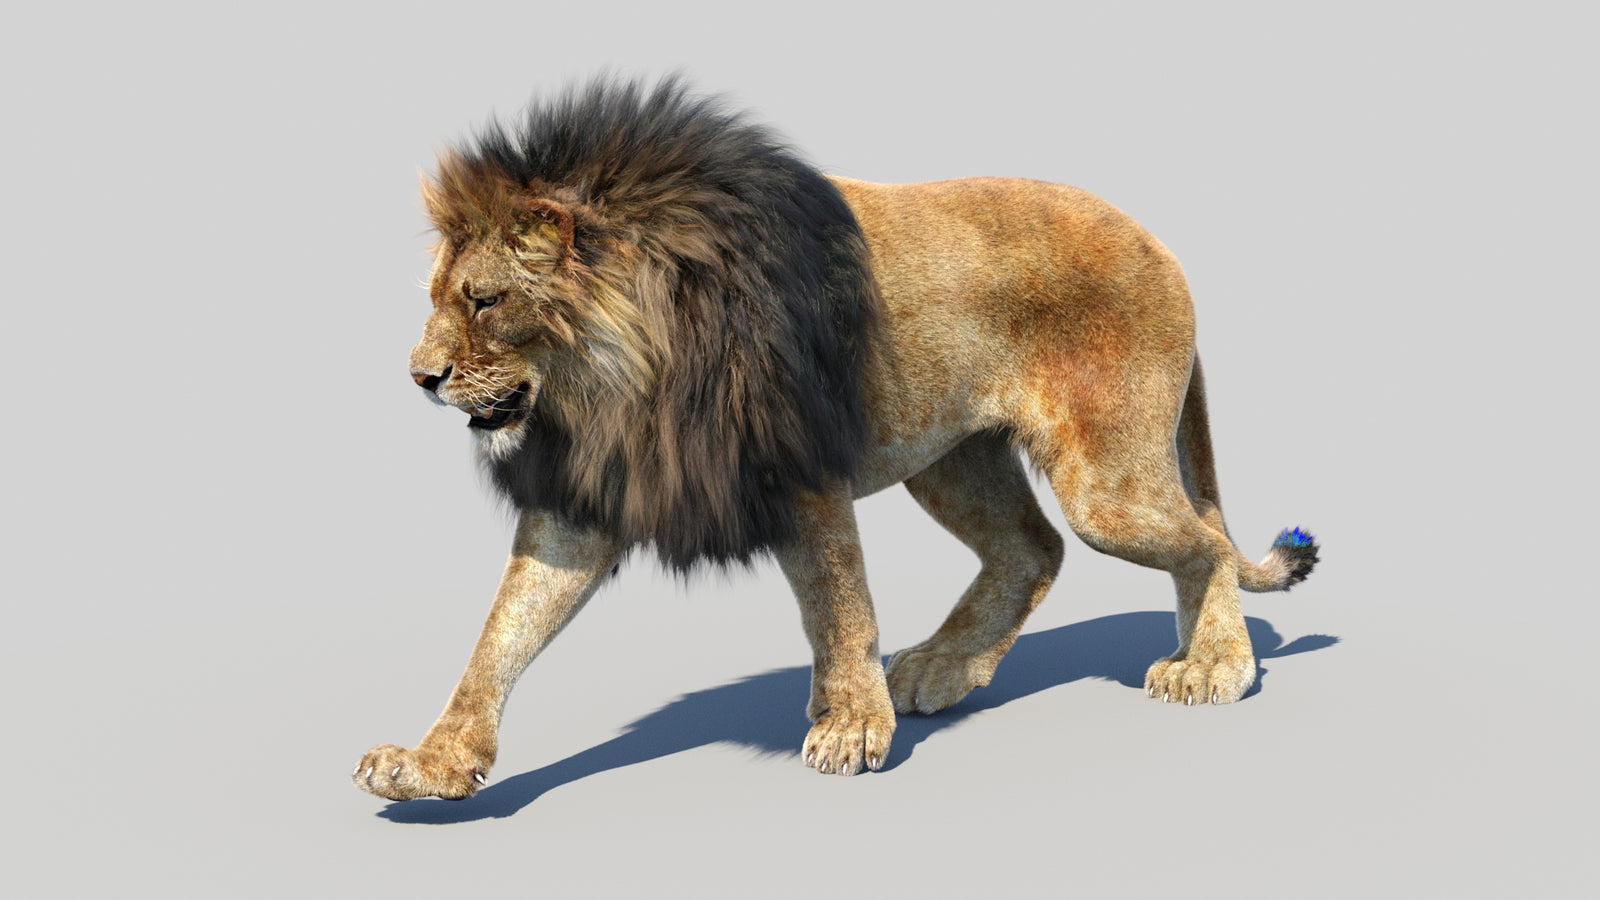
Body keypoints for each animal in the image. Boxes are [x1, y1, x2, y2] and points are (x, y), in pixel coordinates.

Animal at [353, 77, 1319, 801]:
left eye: (484, 300)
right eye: (437, 296)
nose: (418, 376)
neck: (614, 386)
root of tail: (1162, 245)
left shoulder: (795, 471)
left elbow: (837, 605)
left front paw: (850, 726)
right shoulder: (589, 493)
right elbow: (502, 632)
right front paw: (431, 763)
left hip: (1104, 481)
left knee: (1201, 542)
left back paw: (1213, 667)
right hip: (952, 456)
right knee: (1032, 549)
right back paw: (939, 670)